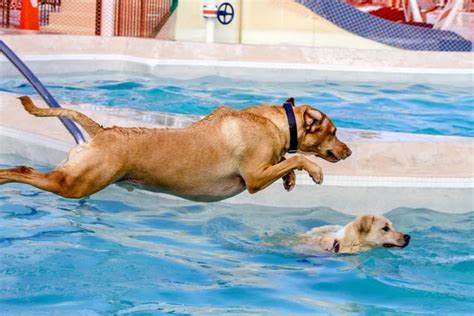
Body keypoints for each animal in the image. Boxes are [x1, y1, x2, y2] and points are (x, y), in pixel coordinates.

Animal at [0, 96, 348, 201]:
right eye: (334, 132)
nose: (349, 152)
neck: (276, 123)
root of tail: (101, 131)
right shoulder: (254, 178)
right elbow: (296, 158)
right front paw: (312, 170)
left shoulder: (266, 168)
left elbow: (286, 161)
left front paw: (290, 178)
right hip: (78, 183)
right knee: (25, 170)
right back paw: (6, 176)